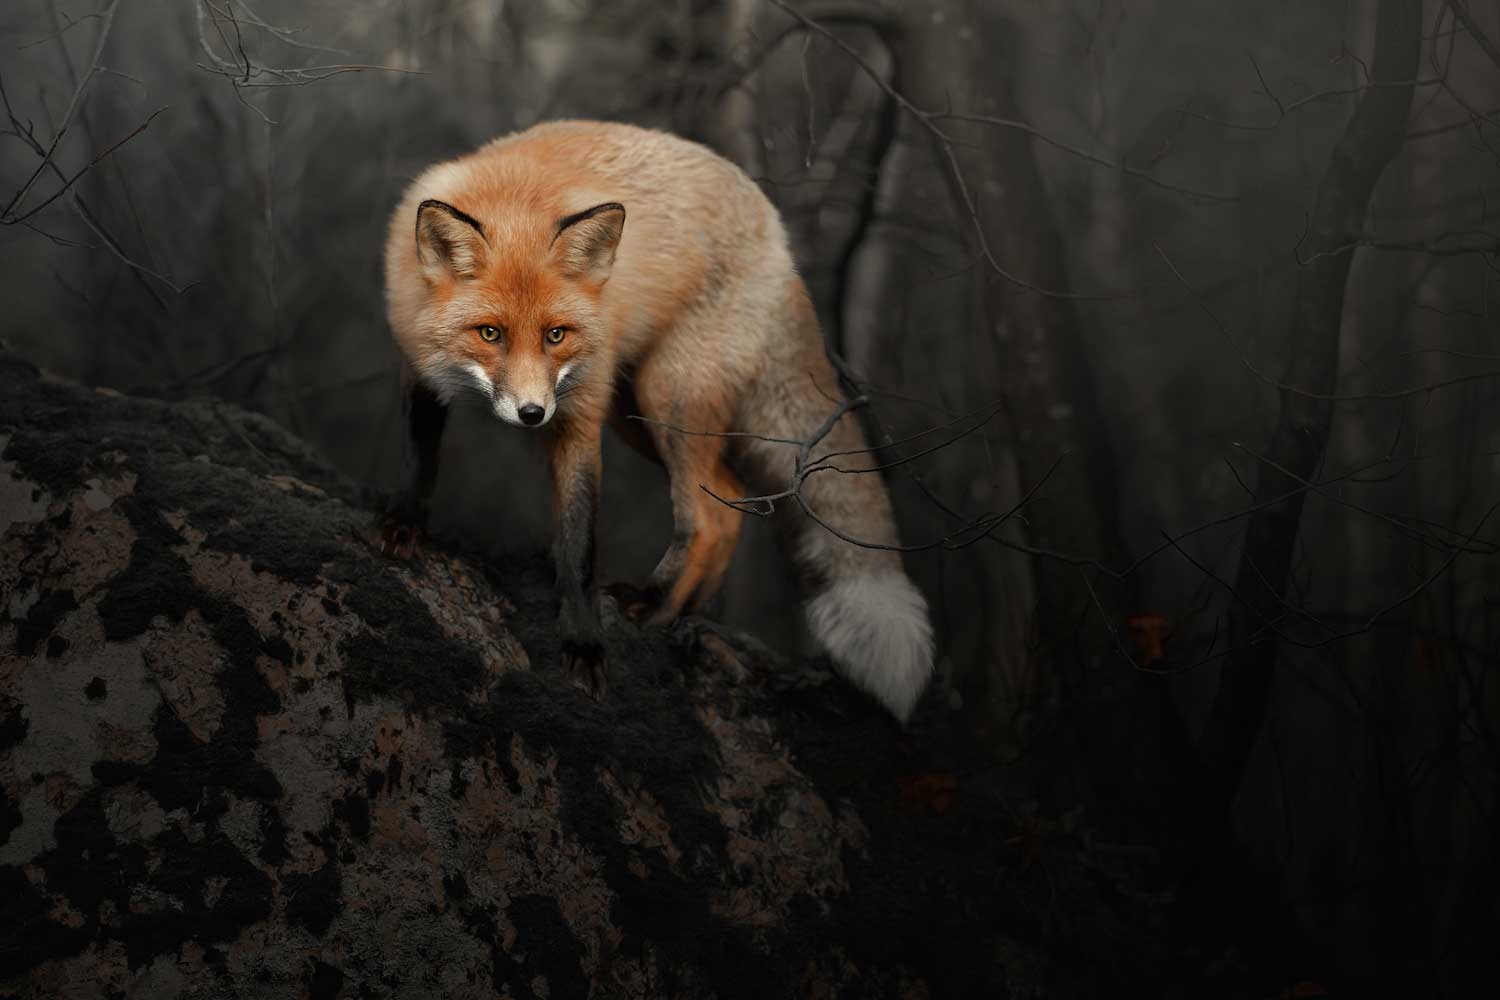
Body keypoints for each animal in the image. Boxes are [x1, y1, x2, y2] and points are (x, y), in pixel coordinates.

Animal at [381, 121, 930, 722]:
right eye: (490, 334)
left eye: (556, 335)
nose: (531, 414)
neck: (515, 196)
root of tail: (776, 235)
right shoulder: (420, 369)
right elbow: (419, 458)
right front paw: (404, 523)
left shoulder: (579, 414)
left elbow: (578, 543)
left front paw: (583, 643)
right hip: (638, 412)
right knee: (729, 499)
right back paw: (683, 614)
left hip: (670, 398)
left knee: (706, 516)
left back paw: (654, 604)